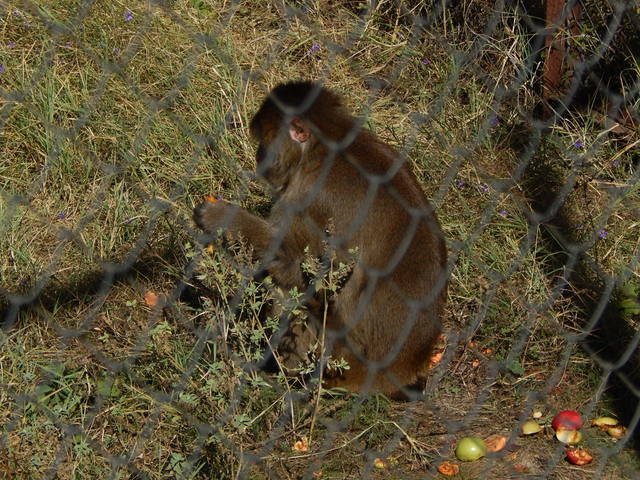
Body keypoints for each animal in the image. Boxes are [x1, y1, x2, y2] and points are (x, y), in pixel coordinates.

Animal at [192, 80, 448, 400]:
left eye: (264, 143)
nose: (260, 159)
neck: (328, 145)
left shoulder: (313, 196)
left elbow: (300, 266)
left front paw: (219, 216)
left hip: (340, 359)